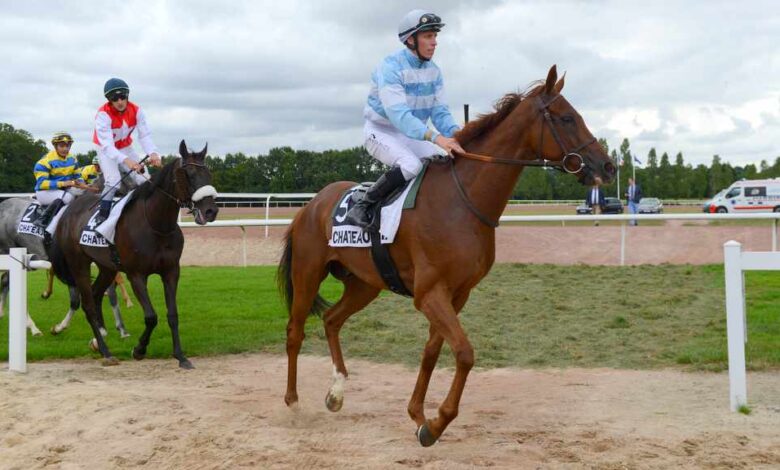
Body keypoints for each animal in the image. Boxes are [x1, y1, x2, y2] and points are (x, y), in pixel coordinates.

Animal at [51, 141, 219, 370]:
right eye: (189, 174)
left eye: (208, 173)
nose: (211, 211)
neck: (155, 224)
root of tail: (68, 210)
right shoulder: (136, 274)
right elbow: (151, 316)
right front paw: (139, 350)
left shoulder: (171, 271)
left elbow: (172, 314)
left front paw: (181, 356)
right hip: (79, 264)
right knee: (88, 304)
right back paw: (106, 351)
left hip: (107, 267)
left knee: (95, 295)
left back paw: (97, 342)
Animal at [278, 65, 616, 444]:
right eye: (567, 118)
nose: (608, 166)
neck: (462, 200)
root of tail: (310, 206)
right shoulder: (429, 293)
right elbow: (465, 353)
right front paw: (437, 422)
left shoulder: (457, 293)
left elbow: (432, 351)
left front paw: (418, 415)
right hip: (308, 273)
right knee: (295, 331)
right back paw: (293, 402)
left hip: (364, 283)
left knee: (331, 319)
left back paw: (336, 392)